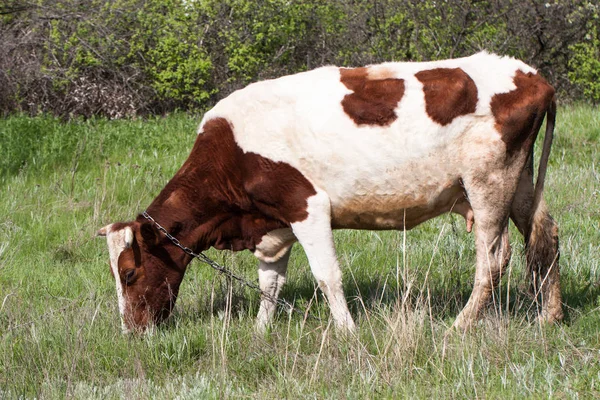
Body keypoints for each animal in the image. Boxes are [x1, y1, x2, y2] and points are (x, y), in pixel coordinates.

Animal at [97, 53, 564, 334]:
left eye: (129, 274)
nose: (131, 330)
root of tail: (533, 76)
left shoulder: (307, 206)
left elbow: (327, 275)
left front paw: (348, 331)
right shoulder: (273, 225)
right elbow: (270, 283)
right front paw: (260, 332)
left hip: (489, 182)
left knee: (493, 258)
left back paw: (462, 325)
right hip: (520, 182)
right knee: (544, 238)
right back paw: (550, 317)